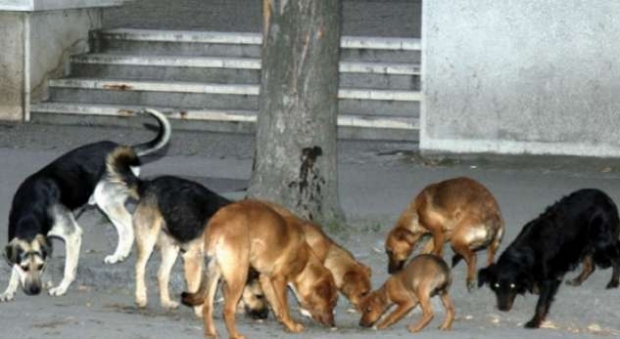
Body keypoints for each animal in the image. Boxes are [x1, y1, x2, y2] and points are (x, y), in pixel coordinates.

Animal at [1, 108, 171, 300]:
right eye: (24, 267)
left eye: (40, 266)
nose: (34, 291)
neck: (32, 209)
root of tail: (126, 149)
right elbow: (14, 268)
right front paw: (9, 289)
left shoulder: (73, 235)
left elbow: (69, 269)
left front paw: (61, 288)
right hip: (106, 201)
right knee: (123, 227)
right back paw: (119, 255)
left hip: (104, 197)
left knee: (128, 222)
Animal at [182, 199, 340, 339]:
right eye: (332, 302)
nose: (333, 324)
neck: (305, 263)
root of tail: (217, 225)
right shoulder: (279, 279)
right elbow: (284, 307)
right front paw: (291, 325)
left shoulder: (267, 279)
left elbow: (277, 305)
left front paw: (284, 323)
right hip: (239, 277)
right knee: (227, 310)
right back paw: (235, 335)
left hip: (213, 275)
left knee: (207, 307)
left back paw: (211, 333)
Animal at [480, 190, 620, 328]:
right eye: (496, 285)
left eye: (513, 286)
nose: (502, 309)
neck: (523, 252)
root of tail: (605, 197)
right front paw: (535, 288)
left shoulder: (550, 278)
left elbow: (541, 303)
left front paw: (535, 321)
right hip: (583, 241)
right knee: (590, 266)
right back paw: (577, 280)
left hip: (602, 241)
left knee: (616, 258)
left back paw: (613, 282)